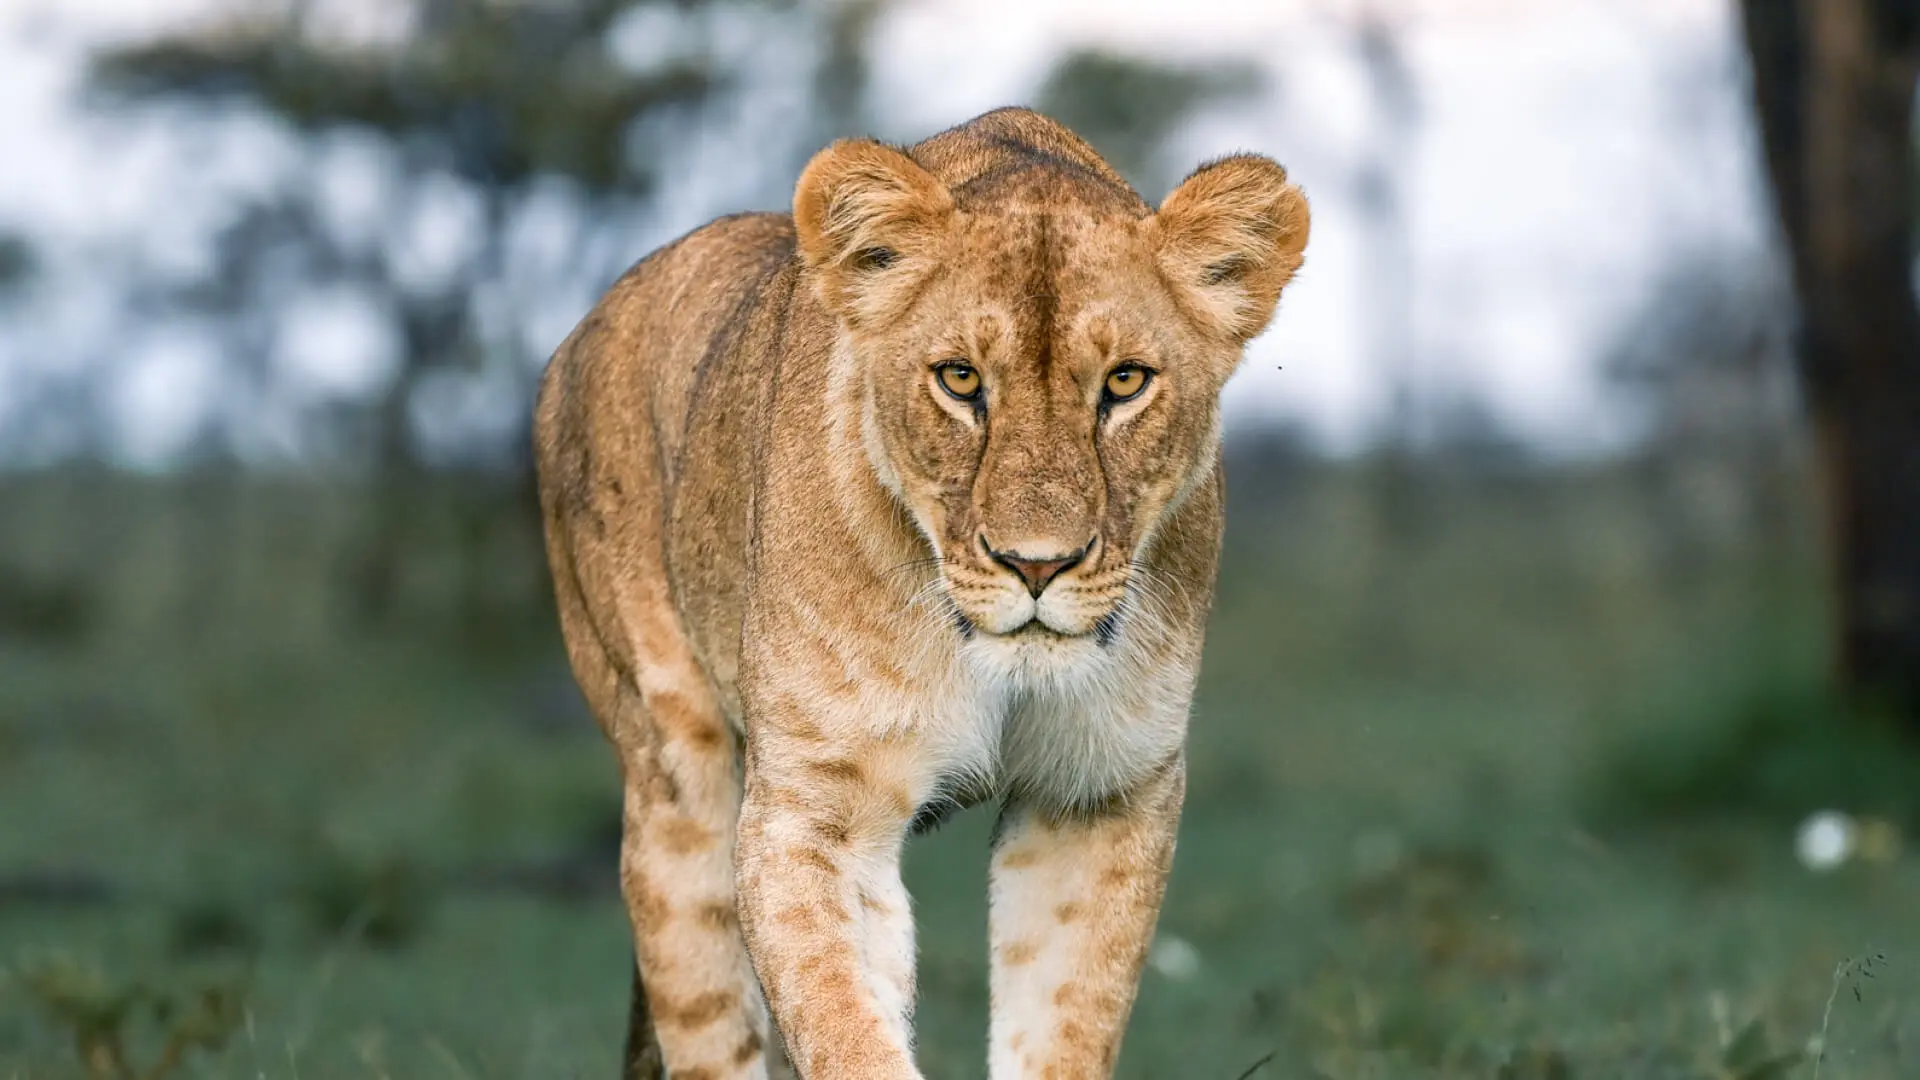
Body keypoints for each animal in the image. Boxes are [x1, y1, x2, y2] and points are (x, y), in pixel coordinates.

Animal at [533, 106, 1309, 1080]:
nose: (1037, 565)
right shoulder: (817, 809)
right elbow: (844, 1027)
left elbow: (1061, 1029)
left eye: (1125, 382)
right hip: (673, 777)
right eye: (960, 379)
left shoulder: (1098, 793)